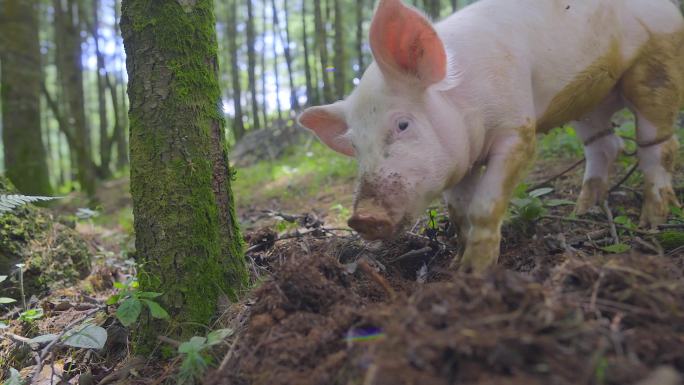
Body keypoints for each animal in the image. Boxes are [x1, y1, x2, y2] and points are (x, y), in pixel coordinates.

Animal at [298, 0, 684, 272]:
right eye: (354, 145)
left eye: (403, 124)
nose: (362, 217)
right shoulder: (459, 163)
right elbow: (459, 213)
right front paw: (455, 266)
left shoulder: (517, 130)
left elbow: (484, 204)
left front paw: (475, 273)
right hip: (591, 104)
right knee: (605, 145)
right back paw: (582, 211)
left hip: (656, 68)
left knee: (659, 145)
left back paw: (652, 222)